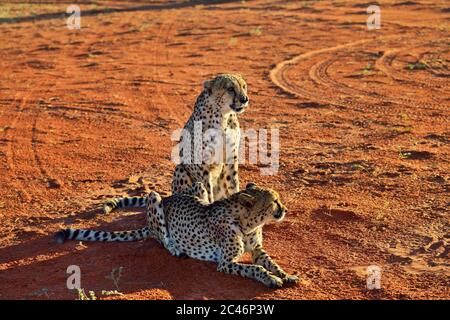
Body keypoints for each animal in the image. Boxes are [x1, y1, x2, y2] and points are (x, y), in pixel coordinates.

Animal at [55, 181, 298, 288]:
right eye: (274, 202)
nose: (285, 209)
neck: (248, 224)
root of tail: (170, 197)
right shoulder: (225, 262)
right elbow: (255, 268)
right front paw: (271, 279)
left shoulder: (257, 250)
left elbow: (270, 262)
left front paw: (286, 275)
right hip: (154, 198)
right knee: (162, 237)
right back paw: (176, 248)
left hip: (198, 187)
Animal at [103, 74, 248, 214]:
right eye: (230, 89)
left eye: (244, 86)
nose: (245, 99)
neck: (223, 116)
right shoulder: (201, 161)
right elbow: (207, 187)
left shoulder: (231, 156)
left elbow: (233, 183)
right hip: (180, 169)